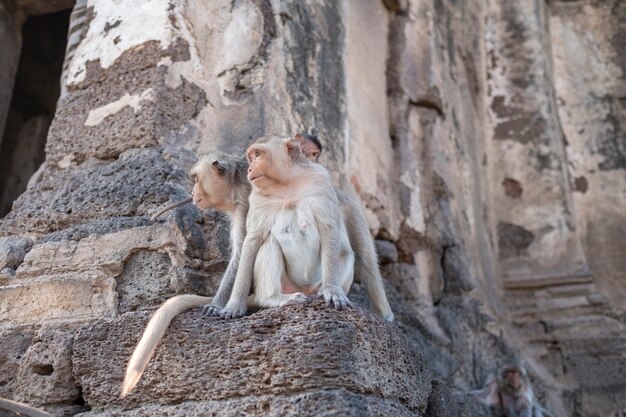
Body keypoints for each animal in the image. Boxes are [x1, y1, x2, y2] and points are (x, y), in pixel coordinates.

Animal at [120, 151, 250, 398]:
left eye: (197, 180)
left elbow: (244, 251)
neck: (239, 184)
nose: (192, 194)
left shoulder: (245, 206)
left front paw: (218, 305)